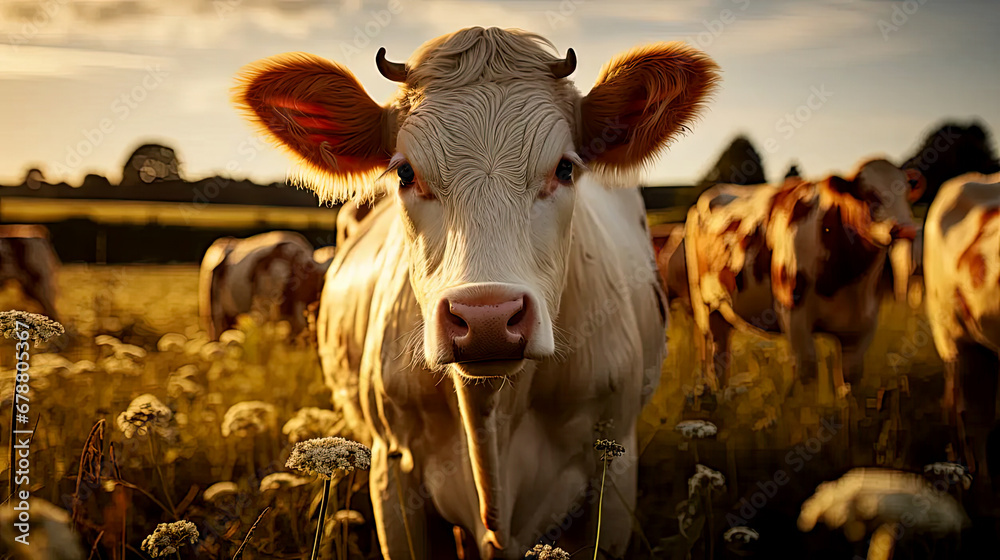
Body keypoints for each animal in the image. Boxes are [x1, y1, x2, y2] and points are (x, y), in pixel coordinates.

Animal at [688, 161, 920, 398]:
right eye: (869, 195)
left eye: (906, 193)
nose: (905, 229)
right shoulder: (793, 314)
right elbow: (807, 371)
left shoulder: (864, 322)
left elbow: (850, 376)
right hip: (704, 303)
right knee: (711, 349)